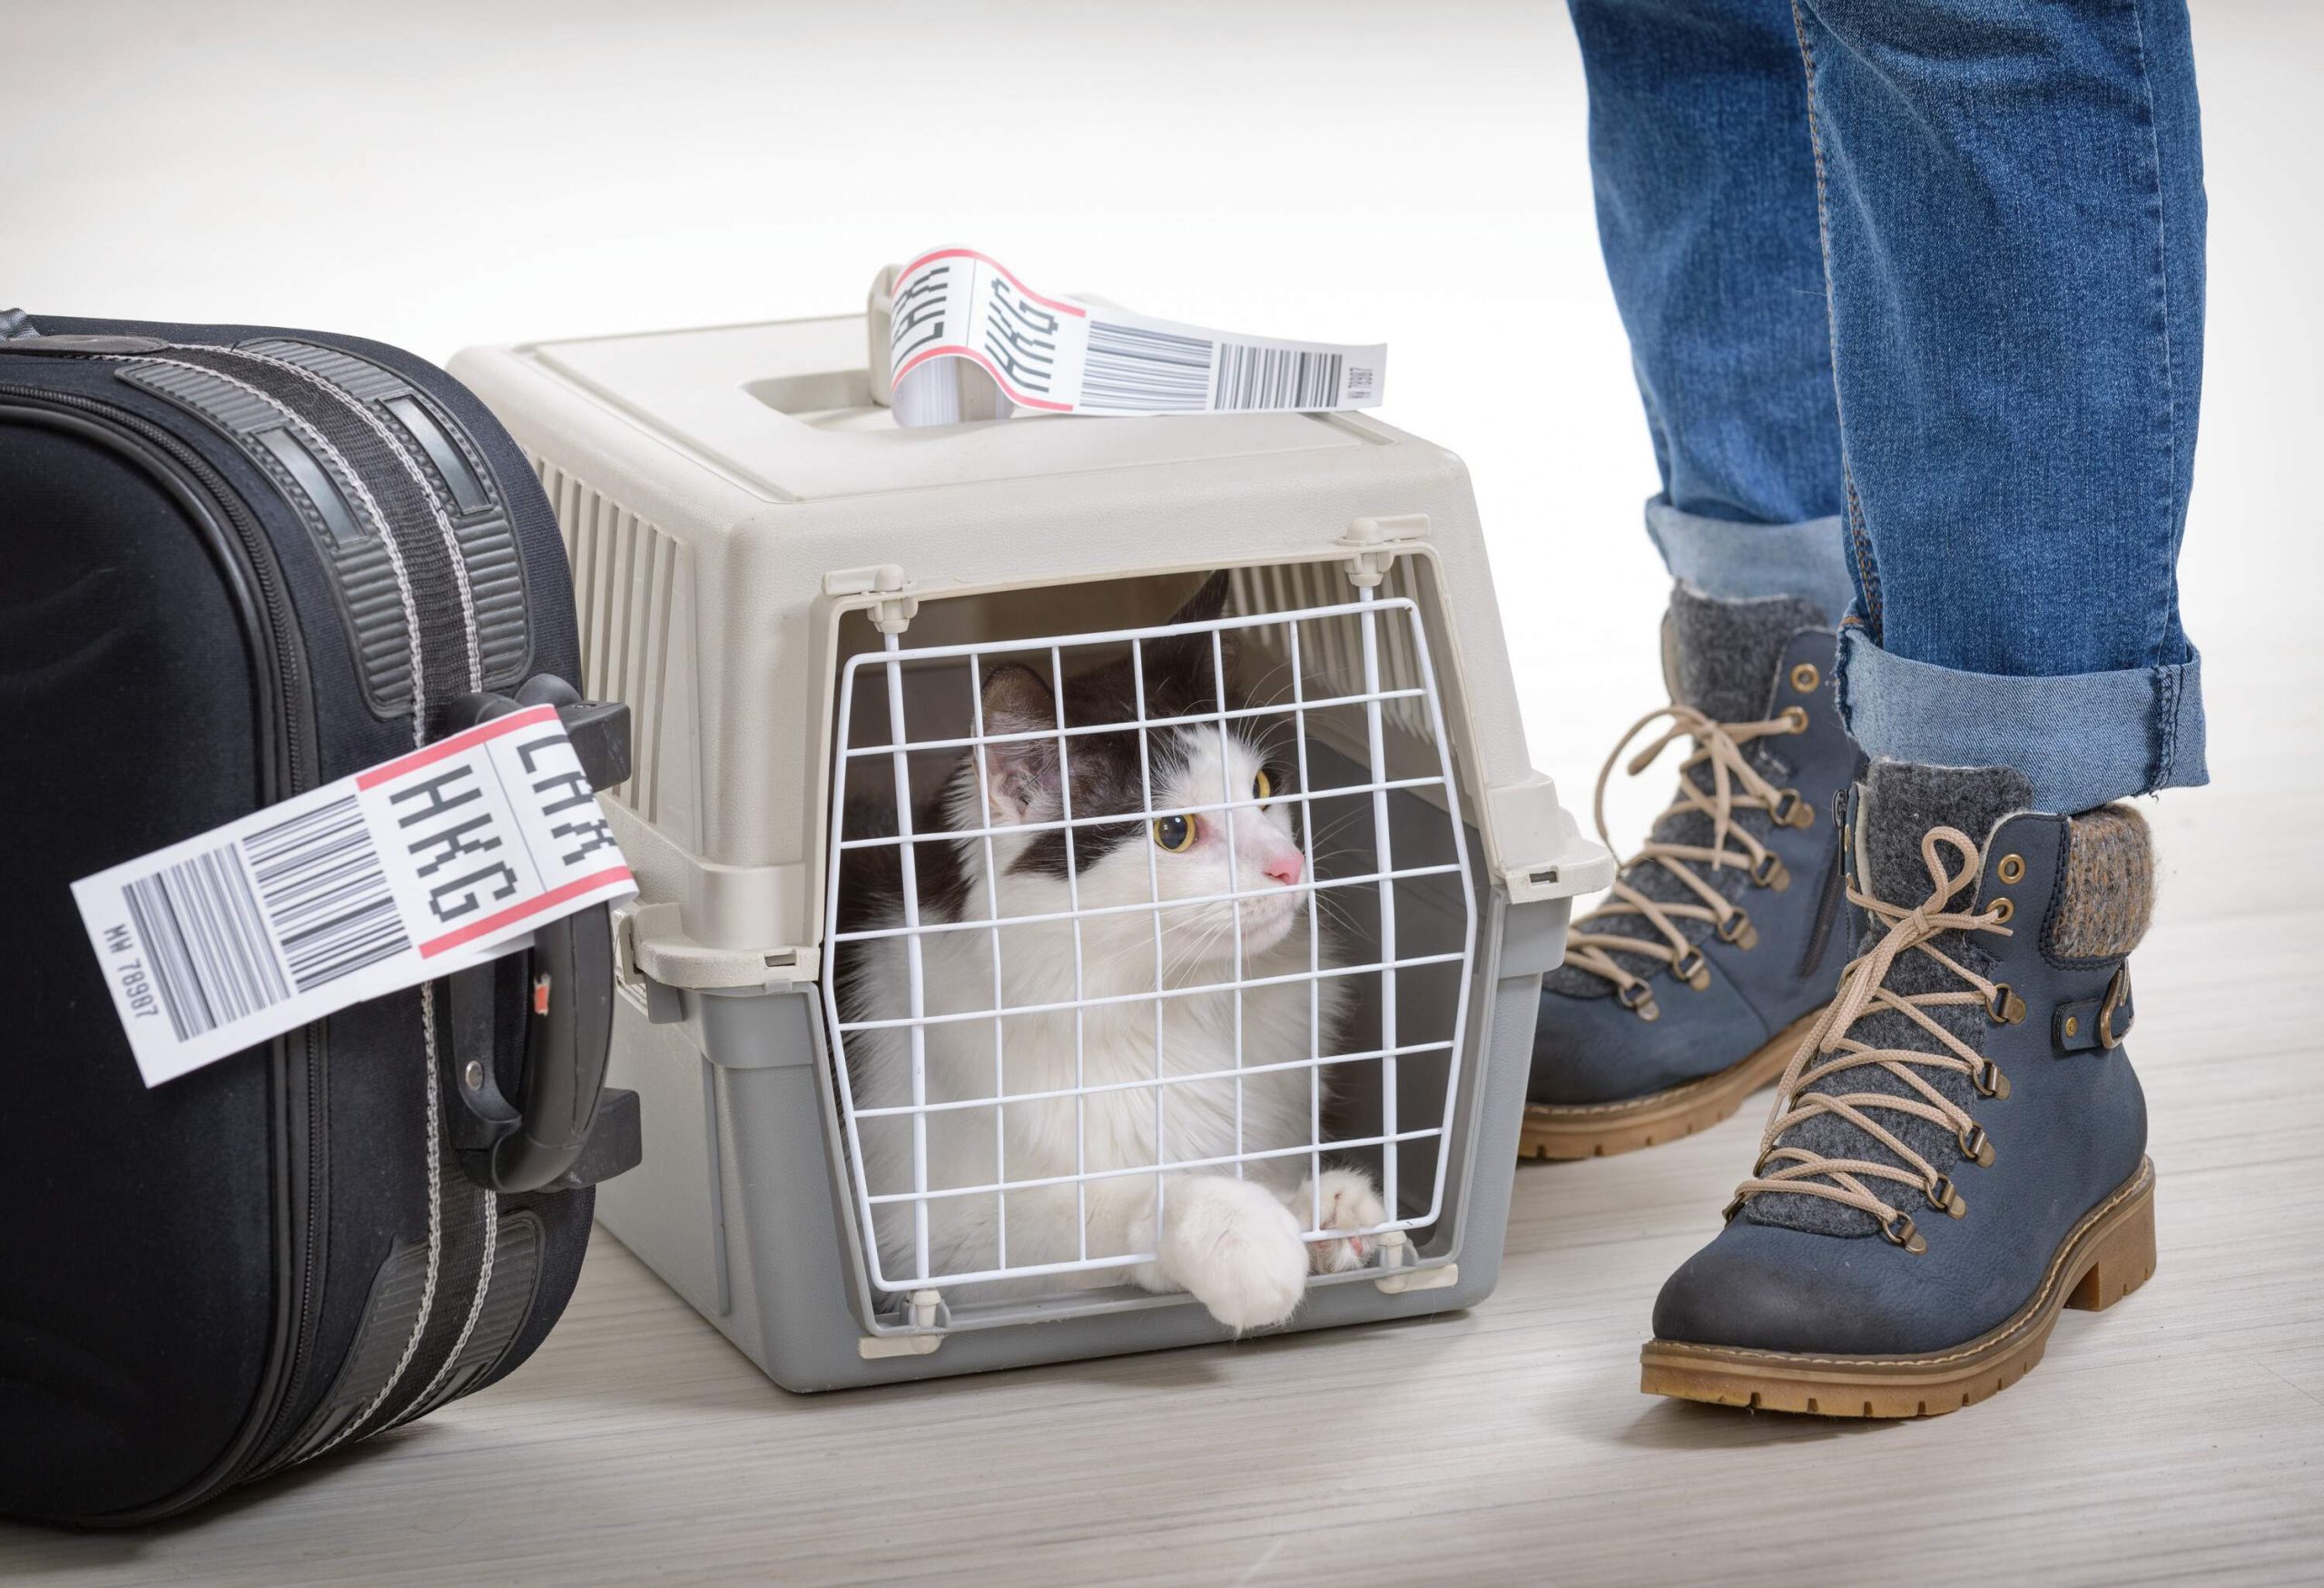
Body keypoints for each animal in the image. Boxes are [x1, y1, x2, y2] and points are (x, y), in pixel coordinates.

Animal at [832, 571, 1375, 1329]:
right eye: (1174, 832)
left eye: (1263, 789)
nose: (1290, 865)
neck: (1179, 1007)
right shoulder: (931, 1244)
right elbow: (1108, 1207)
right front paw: (1246, 1231)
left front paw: (1324, 1211)